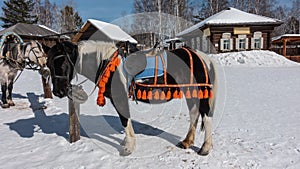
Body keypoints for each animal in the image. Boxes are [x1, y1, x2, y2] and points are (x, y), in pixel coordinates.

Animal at [45, 40, 217, 156]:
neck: (105, 62)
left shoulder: (119, 98)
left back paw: (205, 148)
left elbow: (124, 119)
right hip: (191, 93)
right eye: (48, 63)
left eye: (61, 61)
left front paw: (128, 147)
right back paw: (187, 142)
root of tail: (202, 57)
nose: (58, 91)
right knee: (194, 114)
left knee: (206, 117)